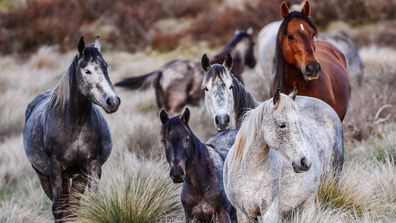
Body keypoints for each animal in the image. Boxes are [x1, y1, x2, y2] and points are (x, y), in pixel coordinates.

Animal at [22, 36, 119, 221]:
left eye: (107, 67)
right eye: (87, 71)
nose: (113, 101)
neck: (75, 125)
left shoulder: (91, 166)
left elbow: (90, 203)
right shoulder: (55, 168)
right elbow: (58, 209)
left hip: (75, 175)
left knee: (73, 206)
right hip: (45, 175)